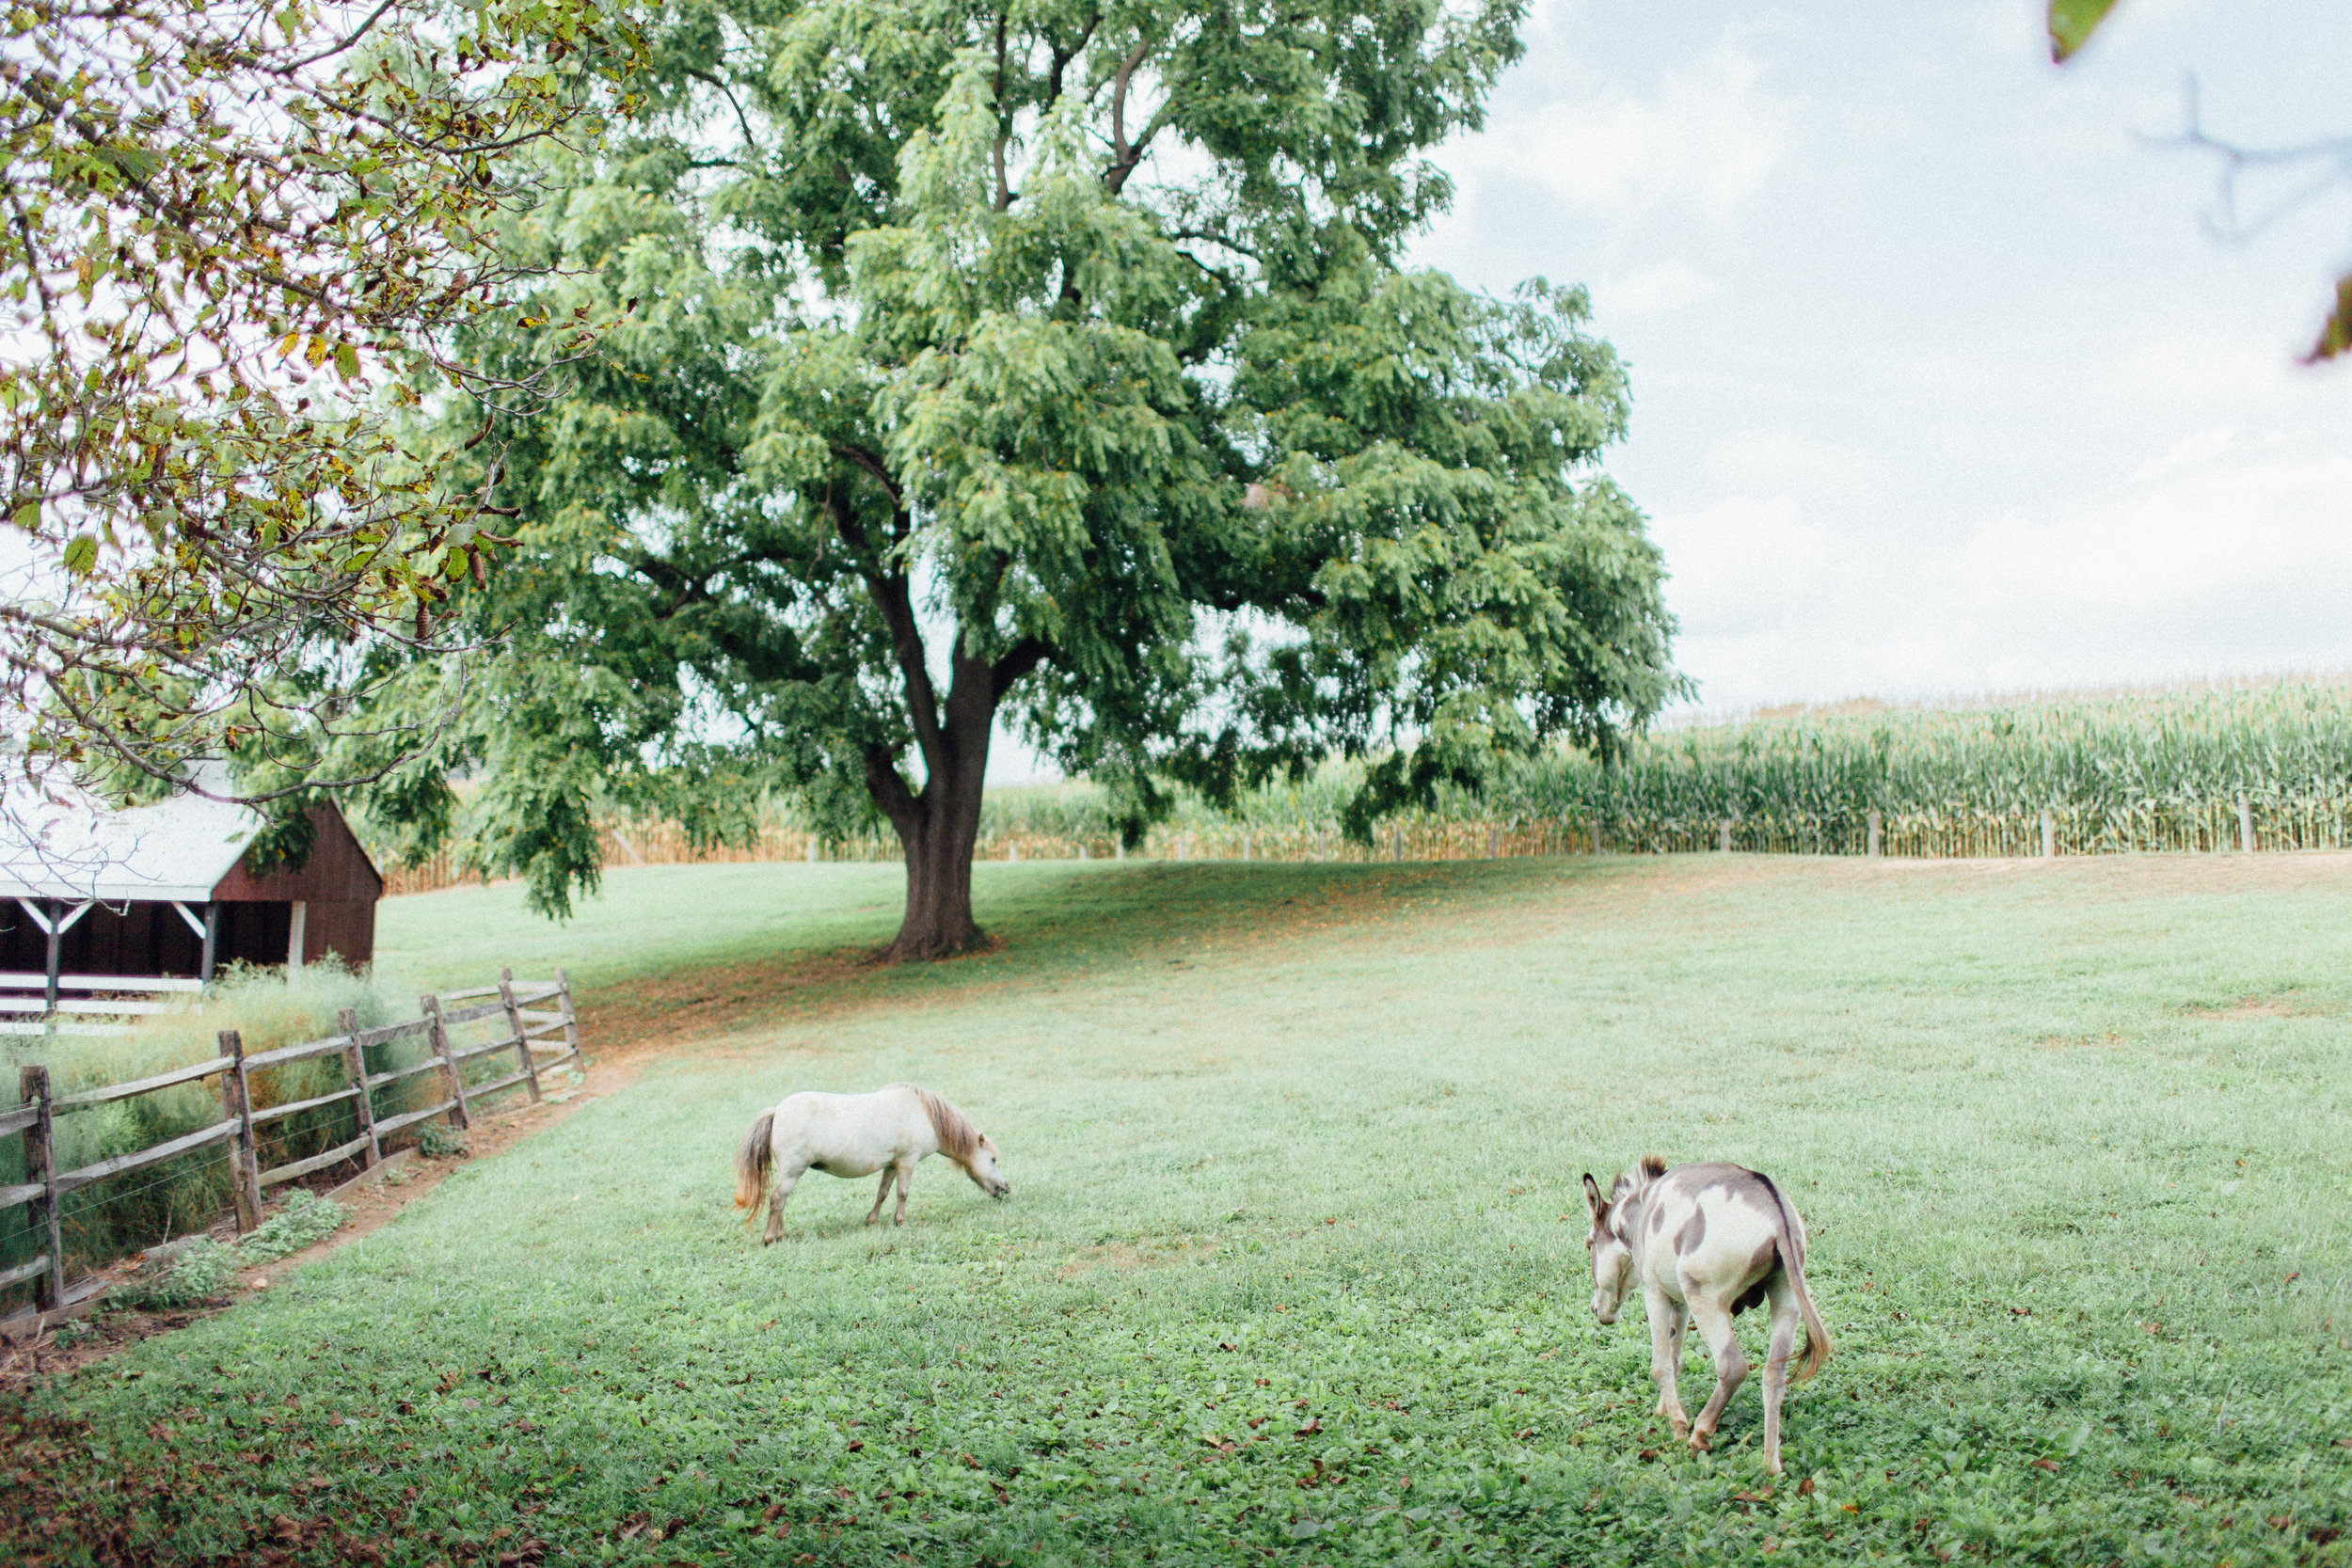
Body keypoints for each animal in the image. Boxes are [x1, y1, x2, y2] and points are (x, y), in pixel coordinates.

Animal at [734, 1085, 1011, 1241]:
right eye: (993, 1159)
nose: (1006, 1188)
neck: (924, 1114)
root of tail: (776, 1111)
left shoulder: (892, 1164)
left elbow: (883, 1193)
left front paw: (872, 1220)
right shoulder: (907, 1161)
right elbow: (902, 1193)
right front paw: (900, 1222)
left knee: (780, 1202)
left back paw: (779, 1234)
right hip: (792, 1171)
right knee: (777, 1200)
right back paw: (770, 1238)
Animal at [1590, 1151, 1825, 1476]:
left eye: (1589, 1244)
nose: (1596, 1310)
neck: (1641, 1214)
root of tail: (1775, 1210)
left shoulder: (1656, 1295)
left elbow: (1661, 1364)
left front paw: (1677, 1425)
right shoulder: (1681, 1303)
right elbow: (1675, 1359)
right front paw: (1664, 1409)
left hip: (1708, 1303)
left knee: (1733, 1366)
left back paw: (1700, 1432)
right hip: (1785, 1300)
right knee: (1773, 1375)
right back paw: (1770, 1465)